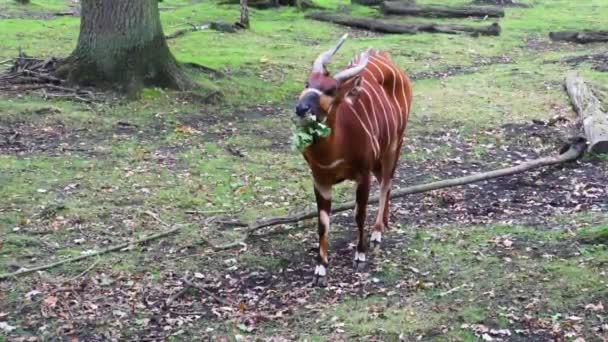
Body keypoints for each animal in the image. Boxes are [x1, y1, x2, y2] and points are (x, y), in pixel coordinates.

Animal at [294, 34, 414, 286]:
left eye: (331, 89)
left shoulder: (363, 173)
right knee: (386, 184)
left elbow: (360, 214)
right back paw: (385, 222)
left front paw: (360, 254)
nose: (301, 109)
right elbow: (323, 222)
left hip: (394, 145)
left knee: (386, 183)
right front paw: (320, 268)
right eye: (308, 84)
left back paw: (377, 232)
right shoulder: (320, 178)